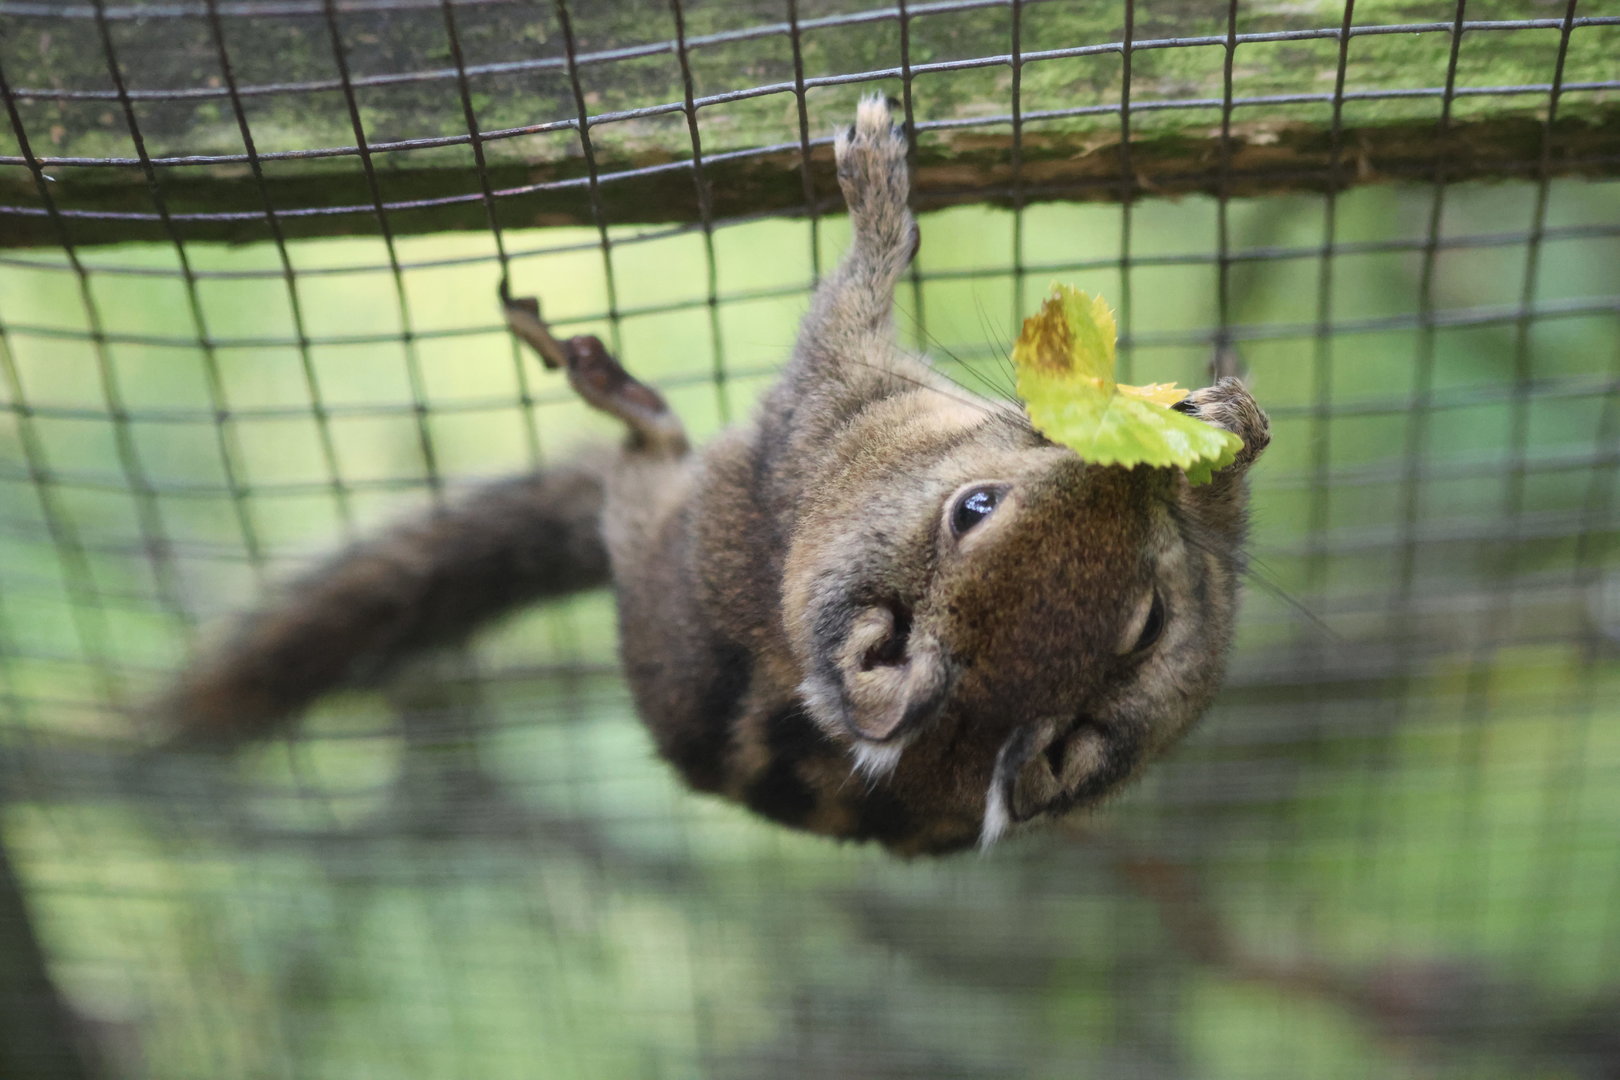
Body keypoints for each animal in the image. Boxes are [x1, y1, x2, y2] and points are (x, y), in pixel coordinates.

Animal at [156, 97, 1270, 855]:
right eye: (976, 507)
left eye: (1144, 627)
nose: (1137, 471)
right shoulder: (823, 414)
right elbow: (851, 302)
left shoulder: (826, 405)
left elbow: (846, 300)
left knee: (638, 462)